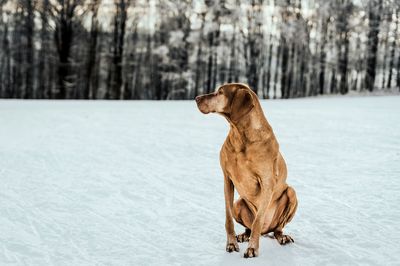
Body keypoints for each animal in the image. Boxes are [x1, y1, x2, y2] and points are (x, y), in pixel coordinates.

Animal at [195, 82, 296, 258]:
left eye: (220, 92)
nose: (196, 98)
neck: (241, 136)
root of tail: (266, 231)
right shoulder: (227, 179)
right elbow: (228, 218)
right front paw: (231, 243)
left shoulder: (267, 183)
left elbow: (257, 221)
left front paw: (252, 248)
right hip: (238, 203)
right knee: (248, 226)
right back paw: (243, 235)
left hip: (291, 193)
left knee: (276, 228)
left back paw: (282, 237)